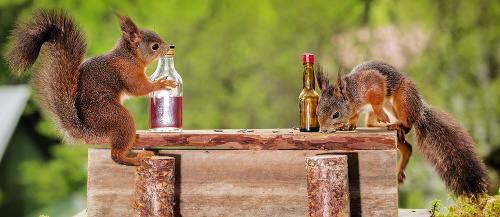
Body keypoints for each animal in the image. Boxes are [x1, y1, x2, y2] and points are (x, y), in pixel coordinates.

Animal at [3, 8, 175, 166]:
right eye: (155, 46)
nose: (169, 48)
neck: (129, 56)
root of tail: (88, 130)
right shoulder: (127, 71)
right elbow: (138, 88)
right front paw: (160, 83)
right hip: (117, 118)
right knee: (115, 155)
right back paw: (135, 159)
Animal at [316, 60, 488, 196]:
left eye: (336, 114)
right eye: (317, 111)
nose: (322, 131)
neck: (352, 95)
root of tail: (419, 110)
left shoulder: (371, 82)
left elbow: (377, 96)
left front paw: (379, 112)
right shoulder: (356, 110)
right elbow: (353, 118)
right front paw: (348, 126)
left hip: (404, 98)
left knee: (408, 125)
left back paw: (397, 125)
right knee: (406, 146)